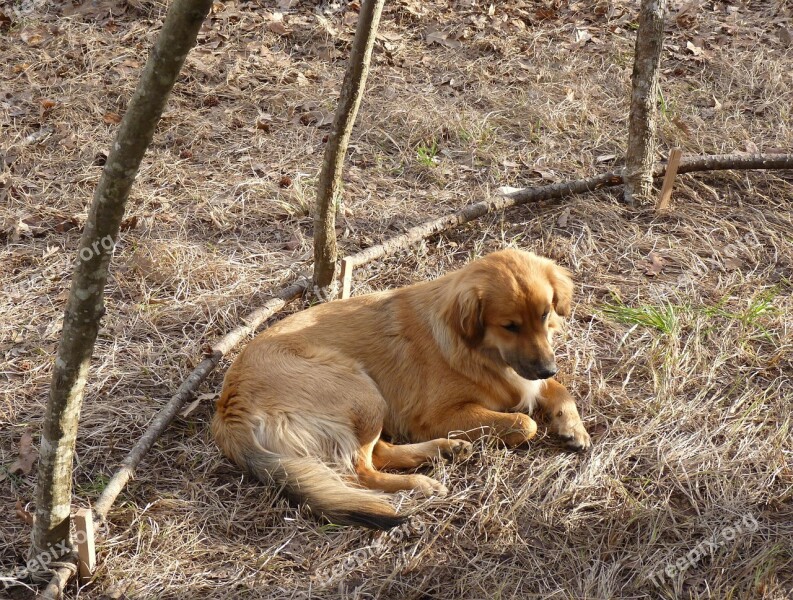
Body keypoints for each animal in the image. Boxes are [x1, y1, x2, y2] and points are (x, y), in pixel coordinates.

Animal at [210, 248, 588, 528]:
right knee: (360, 471)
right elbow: (526, 423)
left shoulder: (526, 377)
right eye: (509, 326)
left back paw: (445, 450)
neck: (475, 348)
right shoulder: (437, 416)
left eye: (544, 314)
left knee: (377, 453)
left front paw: (573, 428)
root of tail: (229, 407)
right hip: (362, 392)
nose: (548, 367)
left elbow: (559, 390)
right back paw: (419, 483)